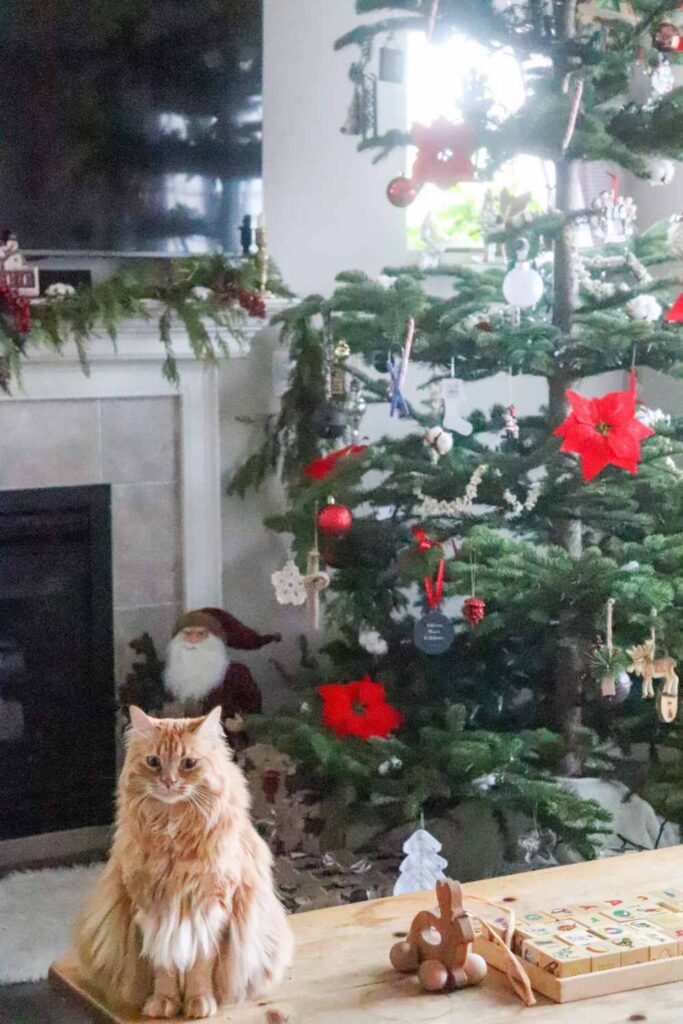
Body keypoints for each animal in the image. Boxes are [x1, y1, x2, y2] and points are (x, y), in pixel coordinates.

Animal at [74, 708, 294, 1019]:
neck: (172, 828)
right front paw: (163, 1002)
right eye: (153, 762)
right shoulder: (153, 907)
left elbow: (199, 965)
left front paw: (198, 1002)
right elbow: (164, 965)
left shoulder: (210, 907)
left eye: (188, 763)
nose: (168, 781)